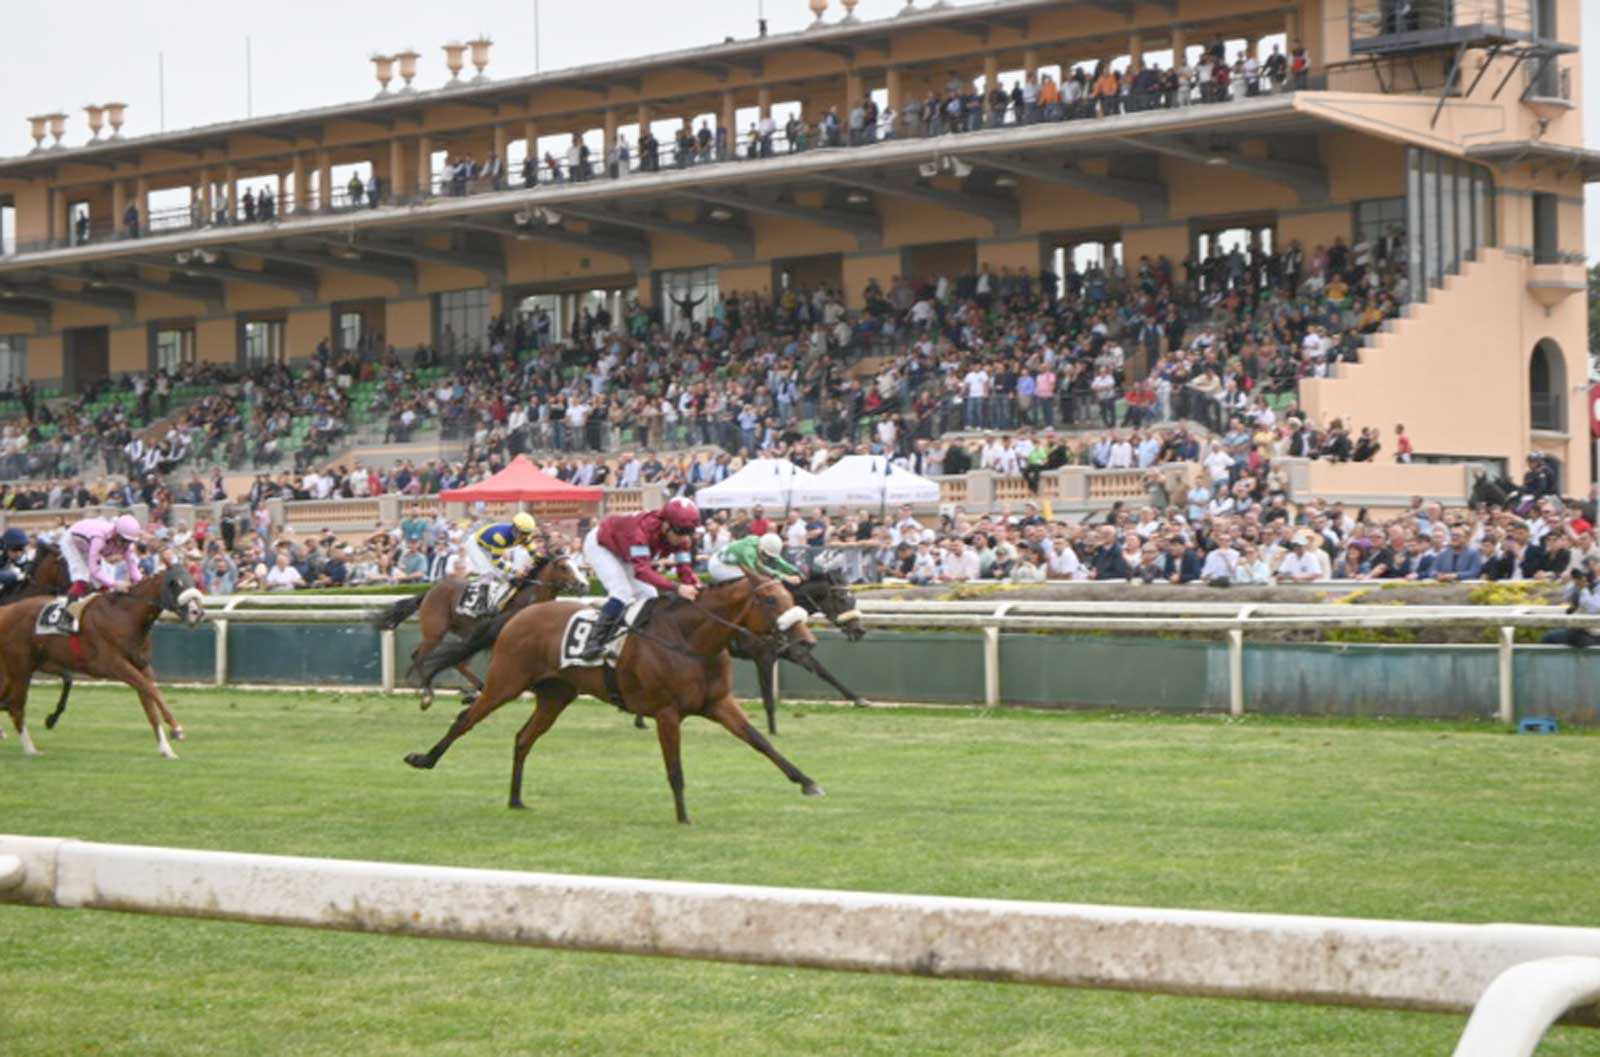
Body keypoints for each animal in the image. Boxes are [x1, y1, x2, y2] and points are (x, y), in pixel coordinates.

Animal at [0, 569, 206, 757]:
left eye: (192, 580)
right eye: (175, 584)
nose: (197, 613)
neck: (126, 616)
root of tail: (6, 611)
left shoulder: (143, 667)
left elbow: (150, 706)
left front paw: (166, 749)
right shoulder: (116, 665)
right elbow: (153, 691)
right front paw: (177, 729)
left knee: (9, 702)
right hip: (21, 667)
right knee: (16, 706)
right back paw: (31, 749)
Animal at [372, 553, 588, 709]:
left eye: (579, 566)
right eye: (564, 567)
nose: (584, 585)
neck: (530, 599)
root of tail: (430, 591)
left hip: (467, 633)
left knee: (459, 663)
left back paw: (473, 692)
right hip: (435, 633)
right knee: (419, 655)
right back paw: (426, 694)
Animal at [406, 569, 819, 825]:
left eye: (789, 595)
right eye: (770, 601)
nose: (806, 641)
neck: (687, 639)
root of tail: (518, 615)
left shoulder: (718, 704)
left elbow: (761, 742)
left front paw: (806, 780)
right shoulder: (667, 712)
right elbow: (675, 768)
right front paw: (683, 816)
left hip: (556, 696)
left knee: (523, 738)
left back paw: (516, 798)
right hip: (505, 682)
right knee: (466, 721)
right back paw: (424, 758)